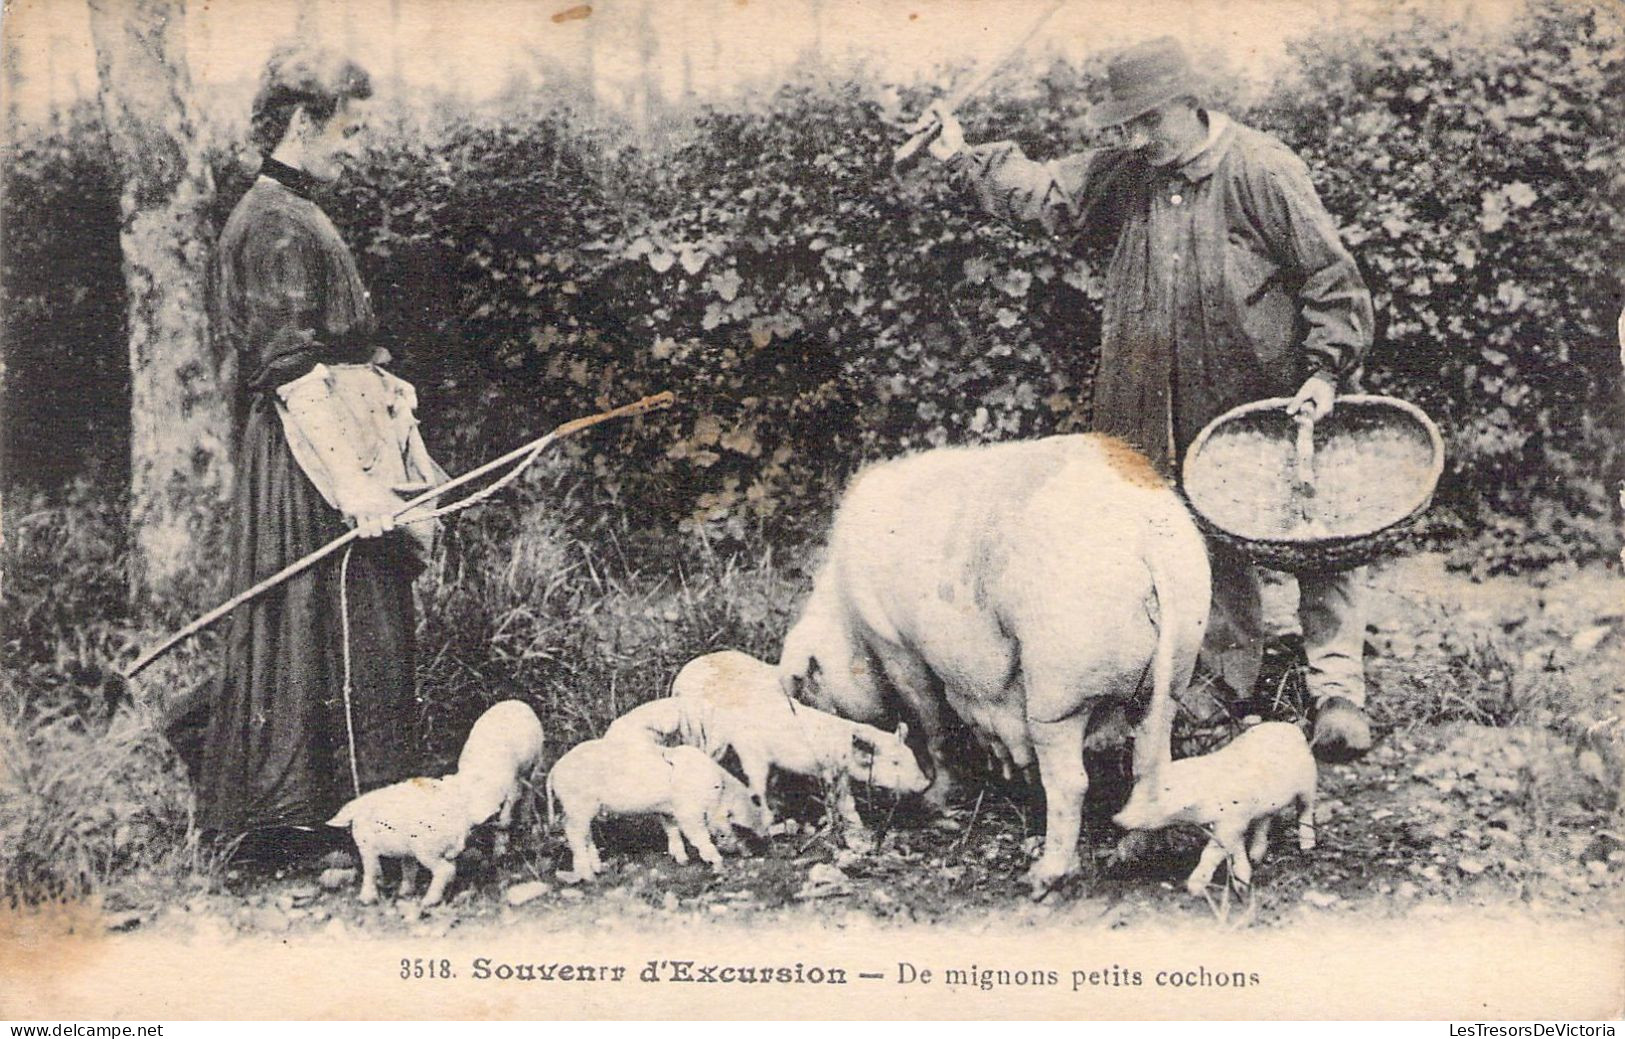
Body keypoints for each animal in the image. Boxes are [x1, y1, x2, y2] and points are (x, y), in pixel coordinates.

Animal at [773, 435, 1209, 897]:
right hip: (1173, 671)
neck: (846, 615)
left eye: (807, 694)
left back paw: (1043, 875)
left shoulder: (898, 647)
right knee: (1151, 766)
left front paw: (935, 798)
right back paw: (1129, 852)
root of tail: (1147, 537)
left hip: (1059, 690)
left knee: (1071, 781)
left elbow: (932, 721)